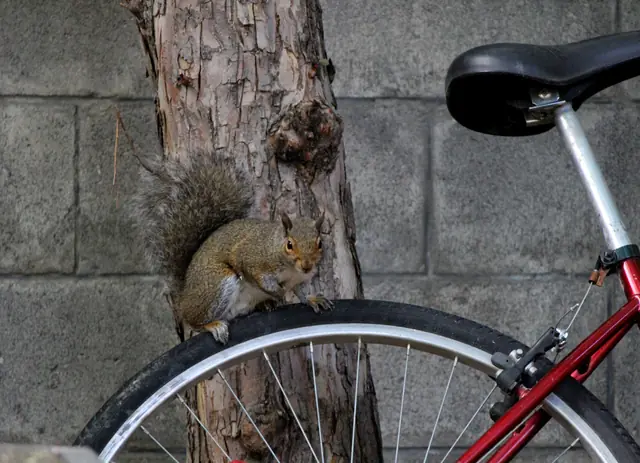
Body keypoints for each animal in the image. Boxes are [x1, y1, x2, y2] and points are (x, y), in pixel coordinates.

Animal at [133, 153, 334, 344]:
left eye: (320, 243)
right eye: (289, 245)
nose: (307, 266)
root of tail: (184, 297)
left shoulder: (298, 279)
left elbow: (300, 292)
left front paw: (312, 298)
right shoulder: (253, 260)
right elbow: (258, 277)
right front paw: (278, 293)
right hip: (217, 284)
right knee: (194, 322)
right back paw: (213, 325)